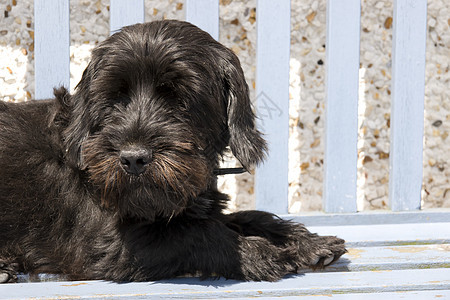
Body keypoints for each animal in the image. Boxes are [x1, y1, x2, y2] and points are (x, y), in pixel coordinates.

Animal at [0, 19, 346, 282]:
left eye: (180, 98)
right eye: (115, 98)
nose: (133, 159)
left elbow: (245, 216)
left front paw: (307, 242)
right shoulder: (105, 245)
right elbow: (197, 232)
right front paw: (263, 254)